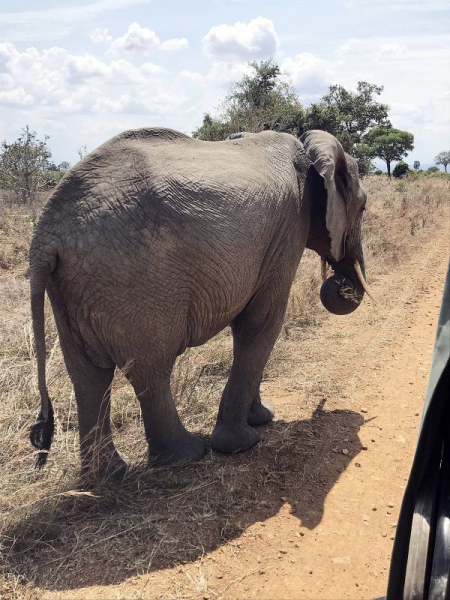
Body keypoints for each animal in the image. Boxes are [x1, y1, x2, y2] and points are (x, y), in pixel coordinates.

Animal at [29, 126, 372, 478]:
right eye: (362, 208)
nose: (341, 283)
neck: (309, 149)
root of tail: (47, 234)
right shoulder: (288, 230)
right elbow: (261, 322)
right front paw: (242, 443)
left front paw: (261, 419)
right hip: (134, 280)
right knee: (150, 367)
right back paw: (186, 455)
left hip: (72, 288)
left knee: (88, 376)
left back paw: (108, 475)